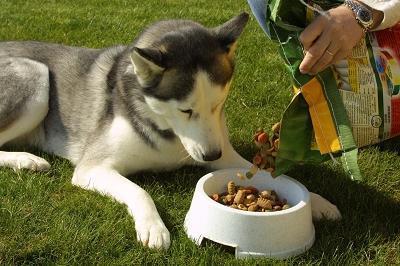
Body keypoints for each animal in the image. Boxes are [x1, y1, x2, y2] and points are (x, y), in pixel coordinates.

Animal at [0, 12, 340, 249]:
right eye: (185, 110)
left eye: (218, 104)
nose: (211, 154)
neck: (166, 132)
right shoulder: (92, 168)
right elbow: (139, 190)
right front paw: (154, 227)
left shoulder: (223, 152)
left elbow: (272, 174)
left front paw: (317, 202)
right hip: (36, 76)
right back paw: (26, 160)